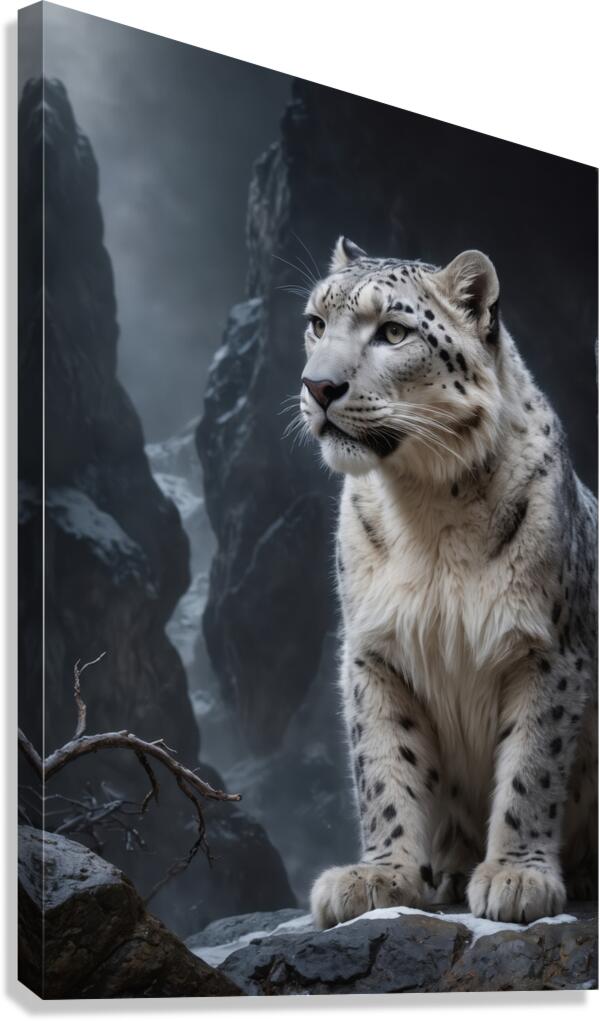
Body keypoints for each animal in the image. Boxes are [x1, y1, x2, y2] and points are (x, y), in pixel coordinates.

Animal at [298, 236, 597, 928]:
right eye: (317, 323)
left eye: (393, 331)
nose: (318, 386)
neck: (428, 512)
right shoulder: (374, 652)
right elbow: (384, 763)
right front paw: (380, 876)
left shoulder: (549, 649)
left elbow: (532, 764)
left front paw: (516, 877)